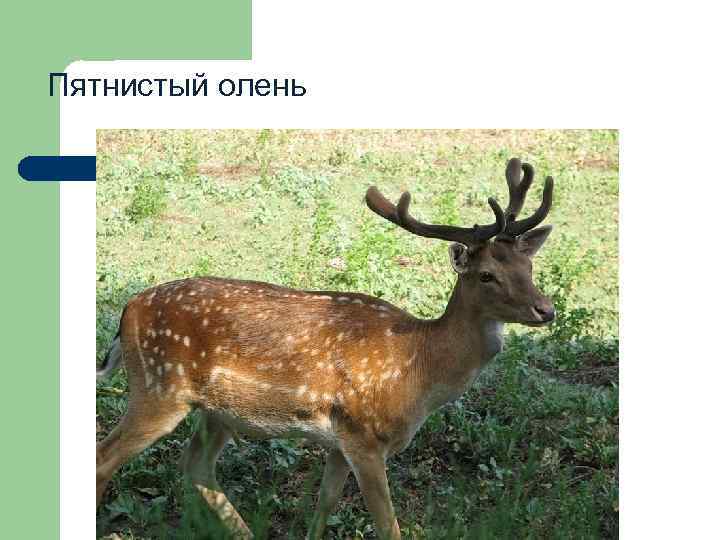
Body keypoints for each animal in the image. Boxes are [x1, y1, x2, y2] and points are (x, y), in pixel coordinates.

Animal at [96, 157, 556, 539]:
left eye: (529, 266)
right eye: (486, 275)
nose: (546, 309)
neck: (418, 372)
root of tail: (128, 310)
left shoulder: (340, 443)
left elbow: (324, 505)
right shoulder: (365, 434)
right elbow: (387, 526)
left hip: (217, 411)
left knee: (195, 466)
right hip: (159, 387)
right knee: (105, 457)